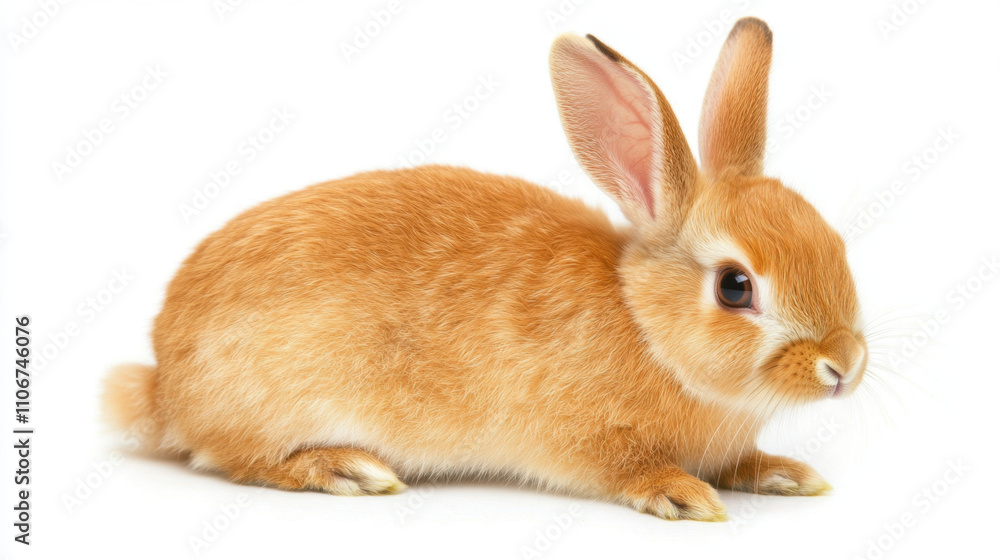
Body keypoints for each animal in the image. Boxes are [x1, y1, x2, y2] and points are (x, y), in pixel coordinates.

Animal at [104, 17, 867, 521]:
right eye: (735, 287)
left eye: (834, 242)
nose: (845, 367)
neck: (646, 324)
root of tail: (164, 385)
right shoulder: (583, 439)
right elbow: (625, 468)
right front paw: (683, 495)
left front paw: (785, 475)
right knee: (234, 457)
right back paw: (345, 469)